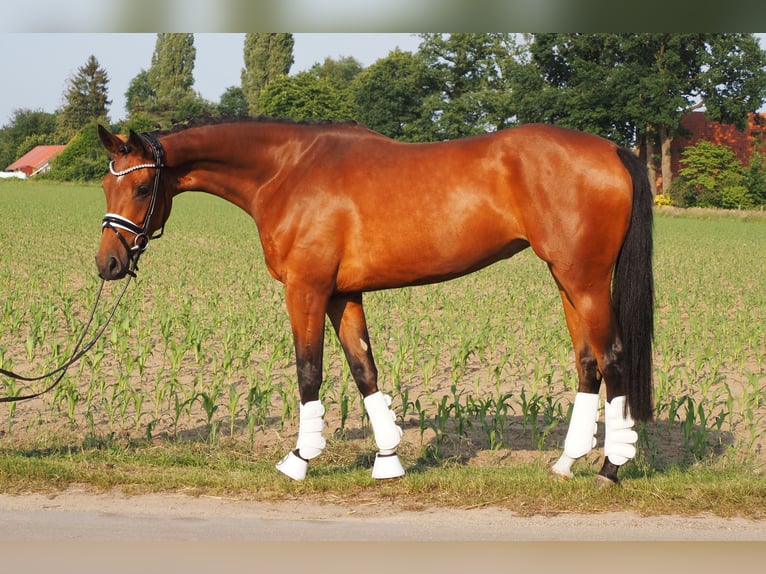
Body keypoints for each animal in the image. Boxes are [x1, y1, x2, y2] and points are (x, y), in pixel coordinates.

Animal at [96, 119, 656, 488]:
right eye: (105, 183)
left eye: (142, 186)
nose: (108, 264)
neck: (286, 170)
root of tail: (613, 149)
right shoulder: (343, 294)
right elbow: (364, 369)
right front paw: (388, 459)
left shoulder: (305, 290)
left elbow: (309, 371)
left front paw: (299, 458)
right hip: (566, 280)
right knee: (587, 363)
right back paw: (567, 462)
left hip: (586, 282)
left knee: (613, 359)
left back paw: (610, 468)